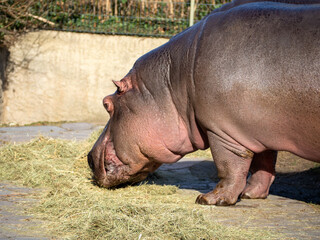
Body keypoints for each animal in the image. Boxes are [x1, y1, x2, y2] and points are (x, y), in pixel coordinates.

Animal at [87, 0, 320, 206]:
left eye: (106, 104)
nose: (88, 157)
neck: (172, 83)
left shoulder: (225, 132)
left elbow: (229, 166)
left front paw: (210, 199)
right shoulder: (259, 130)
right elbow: (264, 164)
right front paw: (250, 194)